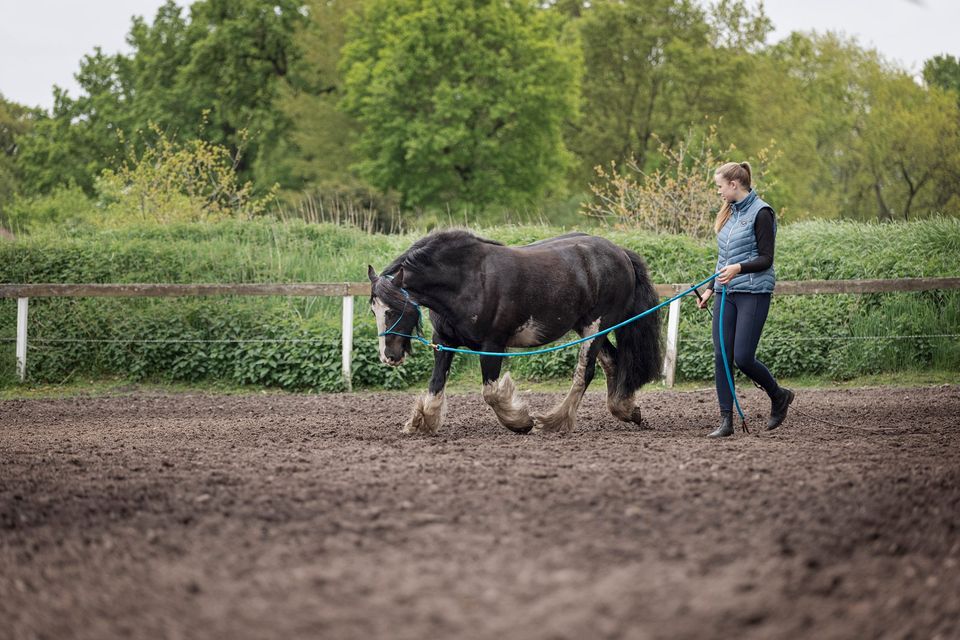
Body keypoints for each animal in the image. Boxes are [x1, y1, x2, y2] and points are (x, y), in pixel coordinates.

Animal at [372, 230, 664, 436]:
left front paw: (520, 422)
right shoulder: (443, 343)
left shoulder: (492, 345)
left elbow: (490, 393)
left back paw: (555, 421)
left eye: (394, 309)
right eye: (373, 309)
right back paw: (625, 409)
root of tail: (621, 253)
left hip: (597, 325)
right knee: (611, 362)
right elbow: (435, 385)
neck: (466, 280)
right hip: (587, 326)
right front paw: (422, 423)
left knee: (585, 372)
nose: (389, 356)